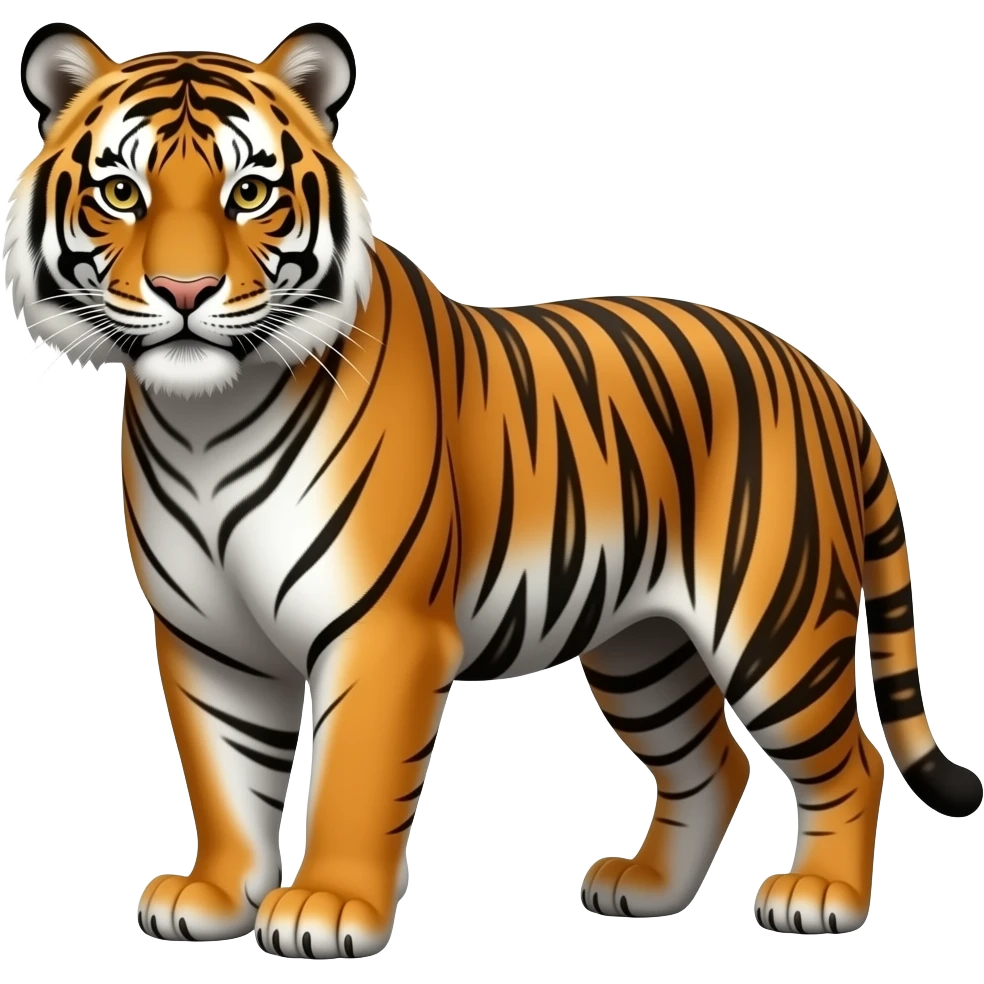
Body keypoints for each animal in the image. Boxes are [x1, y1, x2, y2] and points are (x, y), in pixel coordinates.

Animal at [4, 19, 980, 959]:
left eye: (249, 193)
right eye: (120, 192)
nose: (184, 289)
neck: (205, 419)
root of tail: (821, 378)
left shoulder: (382, 629)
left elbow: (355, 776)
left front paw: (327, 906)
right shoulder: (210, 639)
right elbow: (224, 774)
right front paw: (213, 896)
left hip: (773, 620)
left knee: (850, 758)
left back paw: (821, 898)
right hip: (643, 645)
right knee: (713, 762)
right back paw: (645, 891)